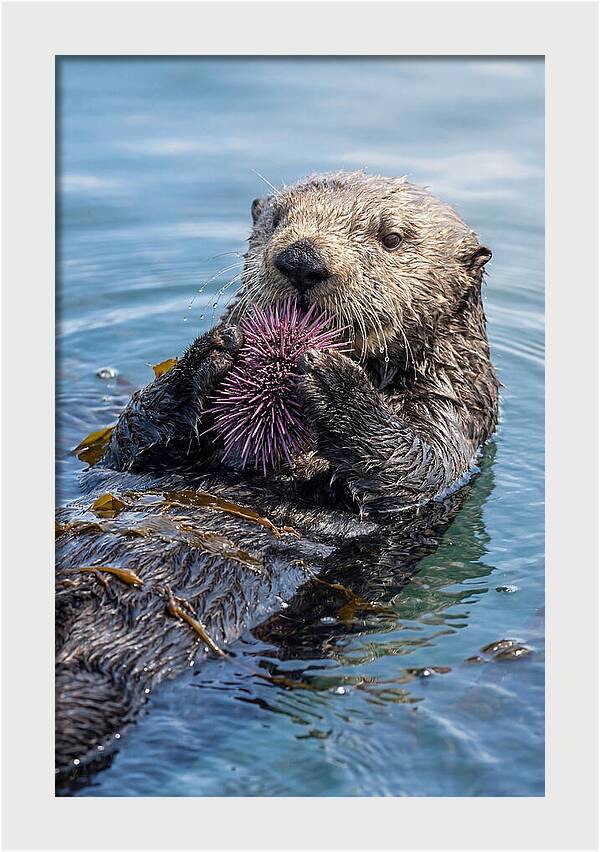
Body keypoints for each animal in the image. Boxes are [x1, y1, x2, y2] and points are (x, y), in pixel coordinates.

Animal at [56, 171, 498, 786]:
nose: (301, 259)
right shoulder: (135, 453)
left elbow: (415, 467)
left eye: (390, 237)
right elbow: (129, 442)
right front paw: (209, 353)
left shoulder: (455, 419)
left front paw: (335, 381)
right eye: (277, 219)